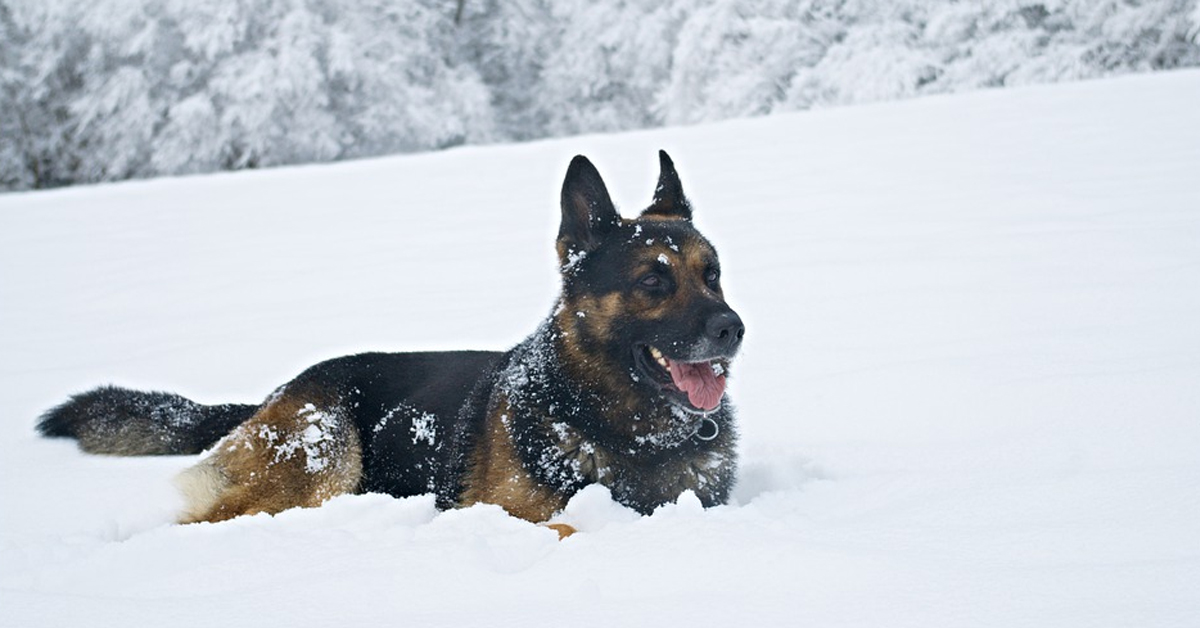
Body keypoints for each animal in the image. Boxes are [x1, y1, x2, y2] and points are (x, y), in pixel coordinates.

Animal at [37, 151, 744, 530]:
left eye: (712, 274)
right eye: (652, 281)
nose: (732, 329)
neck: (617, 425)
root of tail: (275, 391)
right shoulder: (495, 515)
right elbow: (569, 525)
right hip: (323, 457)